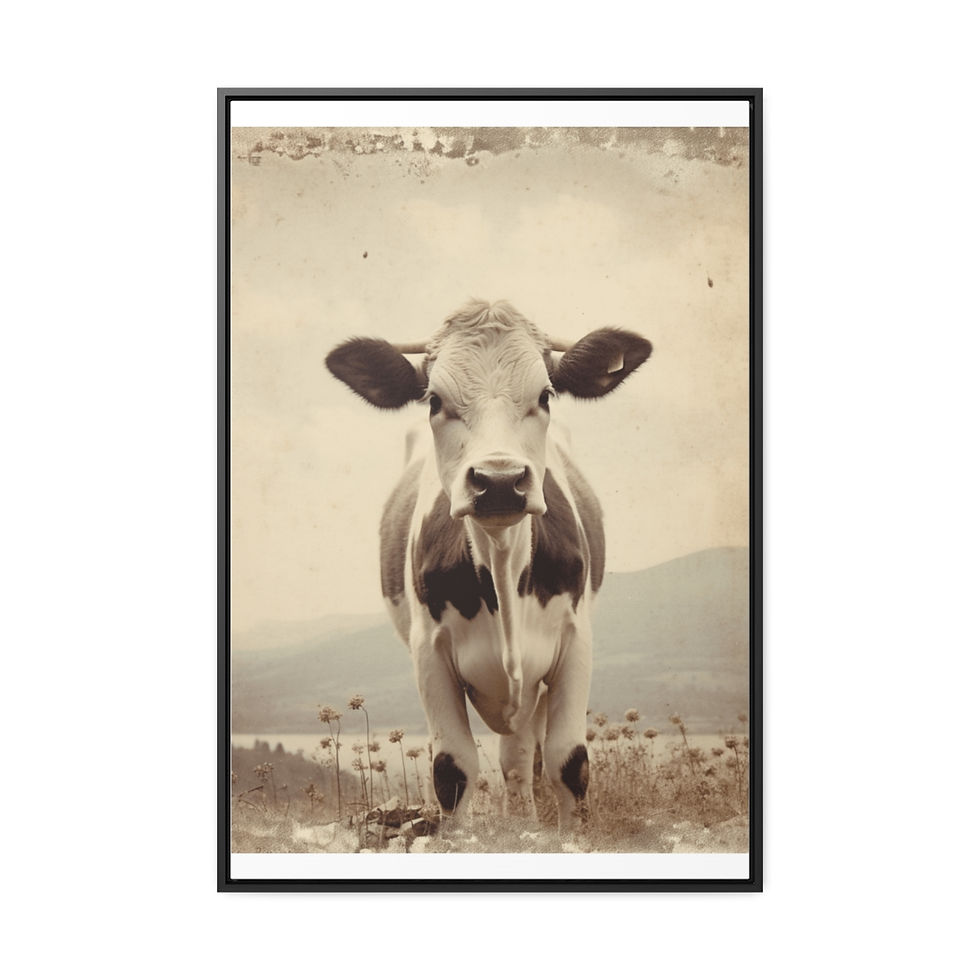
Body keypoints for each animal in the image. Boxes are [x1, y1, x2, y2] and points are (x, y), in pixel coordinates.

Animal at [325, 300, 651, 832]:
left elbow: (568, 762)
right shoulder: (428, 651)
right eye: (434, 401)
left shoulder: (576, 642)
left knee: (520, 757)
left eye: (545, 395)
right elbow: (451, 770)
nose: (499, 481)